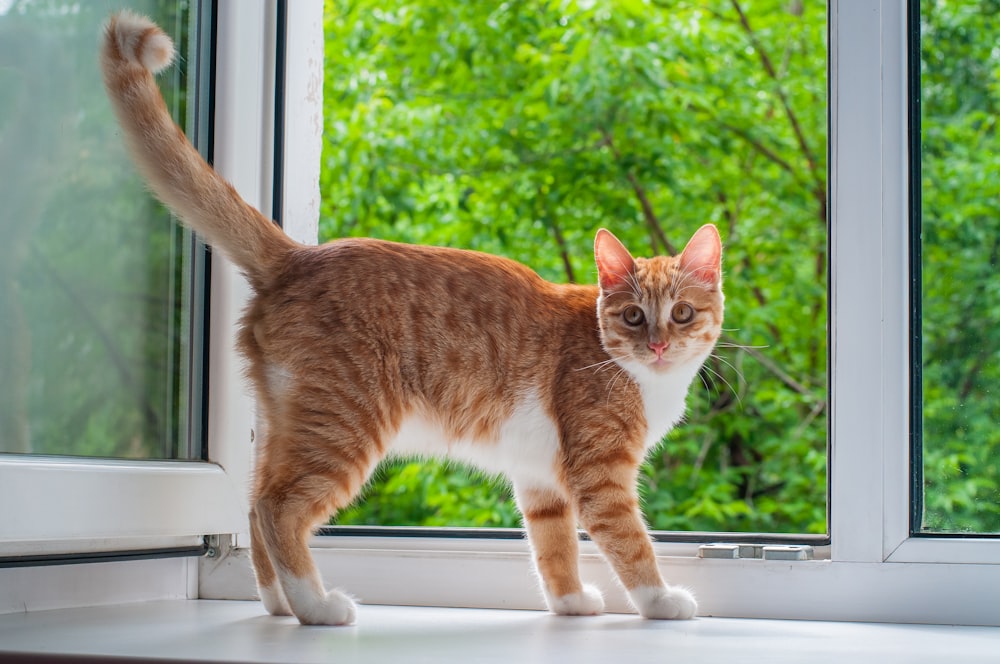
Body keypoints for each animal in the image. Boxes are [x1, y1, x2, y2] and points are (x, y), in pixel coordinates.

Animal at [101, 10, 724, 624]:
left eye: (682, 313)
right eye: (634, 317)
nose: (659, 345)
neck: (640, 377)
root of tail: (298, 254)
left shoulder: (540, 480)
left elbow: (554, 547)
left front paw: (570, 603)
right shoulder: (600, 476)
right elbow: (630, 543)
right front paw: (662, 601)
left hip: (288, 421)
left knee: (254, 507)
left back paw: (280, 604)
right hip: (344, 425)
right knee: (279, 509)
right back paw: (317, 606)